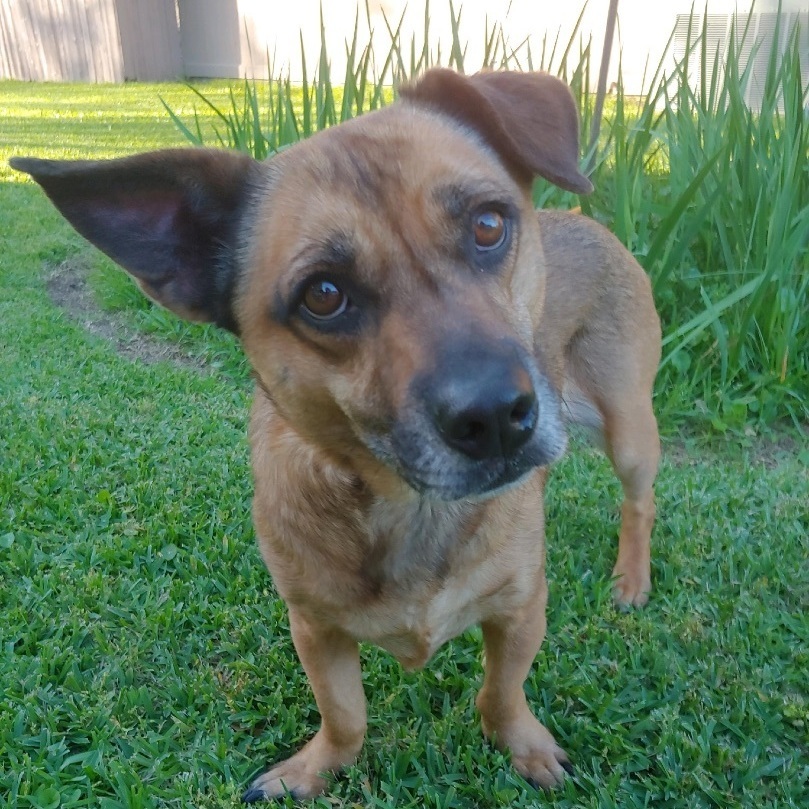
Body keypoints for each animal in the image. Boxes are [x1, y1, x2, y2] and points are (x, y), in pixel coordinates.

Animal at [11, 68, 656, 800]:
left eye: (488, 225)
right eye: (322, 295)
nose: (495, 416)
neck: (410, 507)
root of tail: (580, 218)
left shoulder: (520, 609)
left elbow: (501, 694)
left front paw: (523, 746)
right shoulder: (315, 630)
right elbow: (345, 715)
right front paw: (314, 769)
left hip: (630, 429)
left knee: (639, 501)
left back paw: (631, 577)